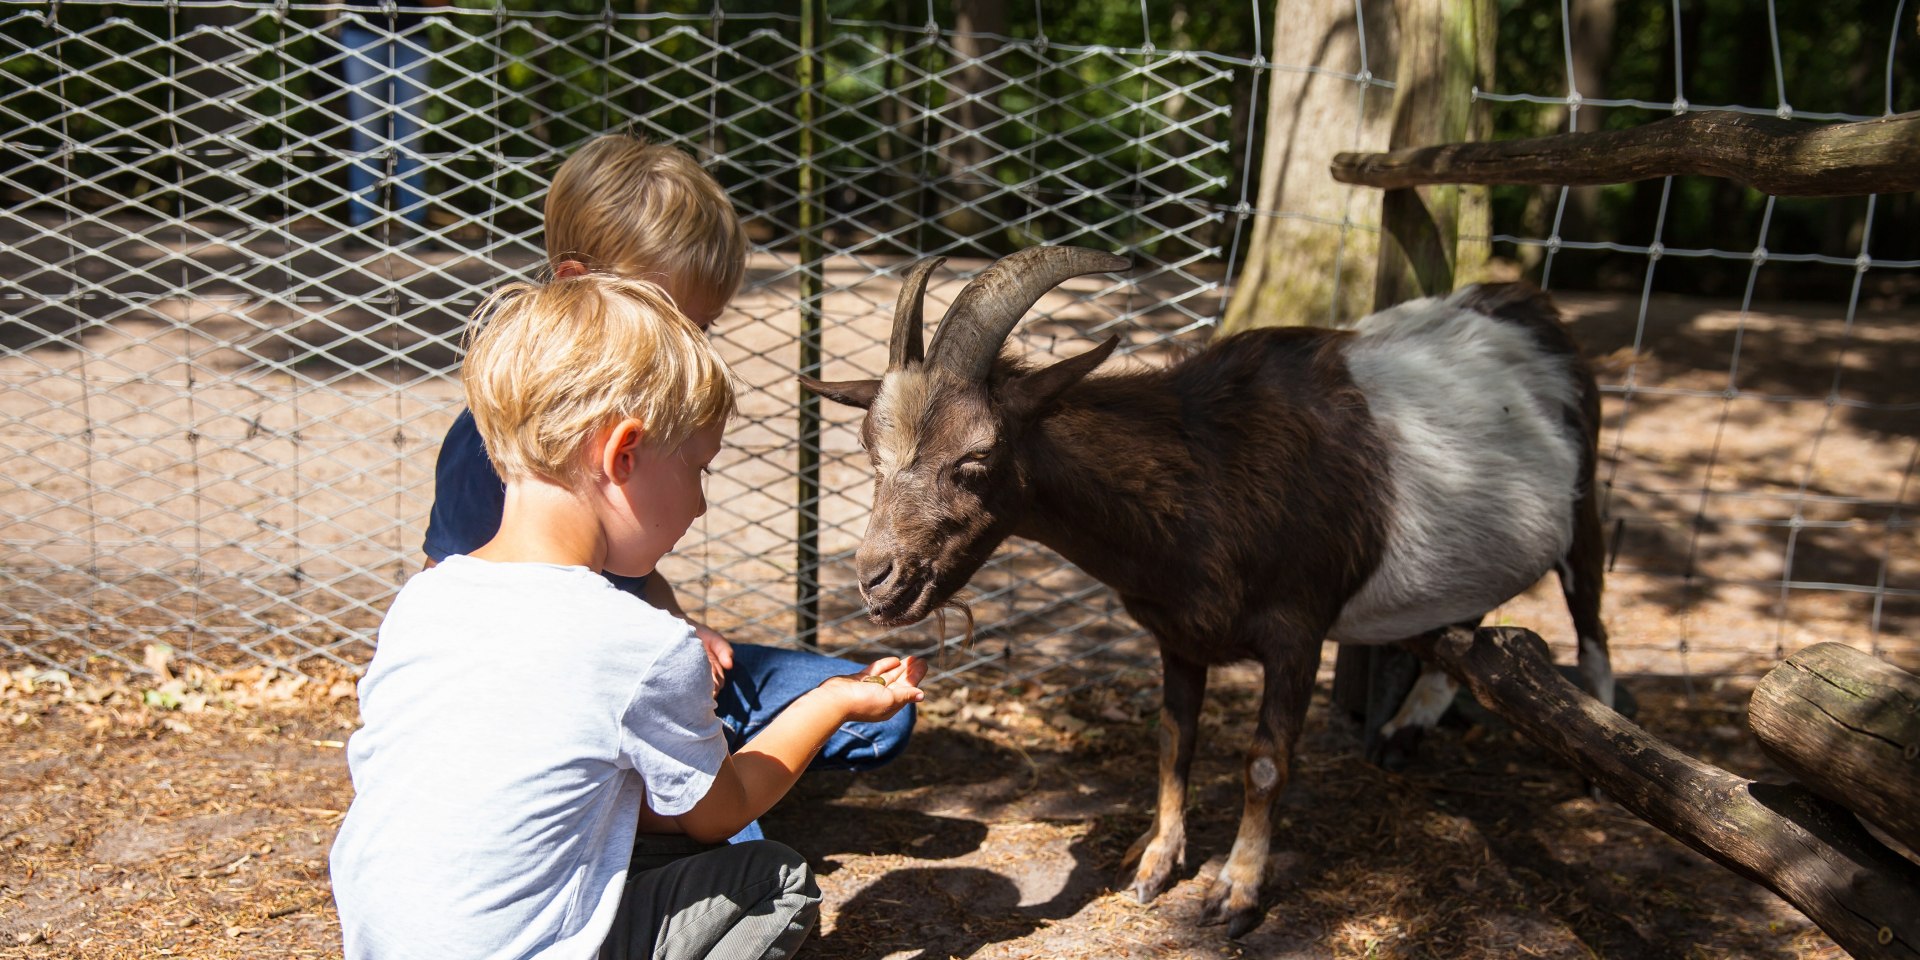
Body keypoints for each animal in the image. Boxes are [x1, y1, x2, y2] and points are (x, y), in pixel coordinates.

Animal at [802, 245, 1612, 936]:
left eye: (975, 458)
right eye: (871, 454)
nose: (877, 579)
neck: (1210, 473)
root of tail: (1532, 307)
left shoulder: (1296, 630)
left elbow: (1264, 762)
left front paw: (1237, 891)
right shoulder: (1178, 633)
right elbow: (1173, 743)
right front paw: (1156, 862)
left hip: (1584, 510)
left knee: (1592, 621)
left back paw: (1601, 773)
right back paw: (1403, 731)